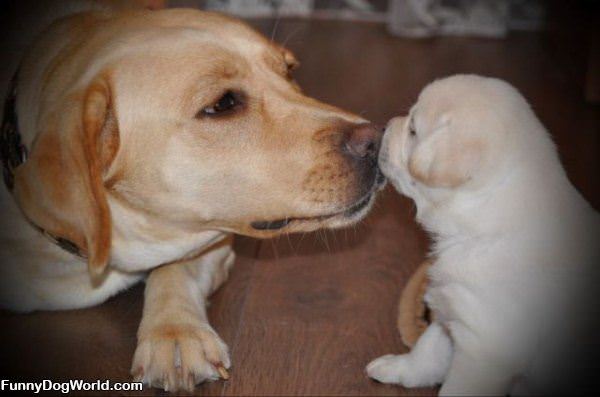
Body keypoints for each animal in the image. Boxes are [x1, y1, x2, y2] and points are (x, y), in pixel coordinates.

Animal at [0, 2, 384, 390]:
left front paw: (175, 332)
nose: (377, 141)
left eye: (289, 71)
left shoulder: (215, 240)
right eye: (223, 103)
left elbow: (175, 269)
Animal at [368, 76, 596, 394]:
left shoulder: (483, 348)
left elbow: (455, 387)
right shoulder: (452, 313)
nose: (384, 126)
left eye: (413, 129)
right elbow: (426, 351)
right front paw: (398, 367)